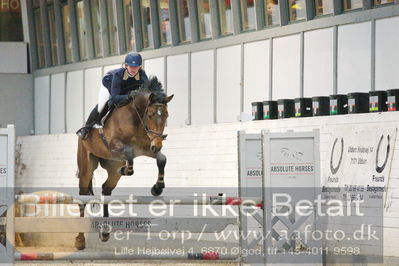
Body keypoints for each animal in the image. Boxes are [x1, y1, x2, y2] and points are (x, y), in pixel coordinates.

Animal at [75, 76, 173, 249]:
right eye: (150, 114)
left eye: (166, 115)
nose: (158, 145)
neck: (136, 118)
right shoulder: (116, 146)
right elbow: (129, 155)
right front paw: (127, 170)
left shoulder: (147, 148)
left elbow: (161, 159)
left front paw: (157, 188)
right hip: (86, 167)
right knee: (82, 199)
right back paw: (80, 241)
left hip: (112, 168)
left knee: (106, 190)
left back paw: (105, 232)